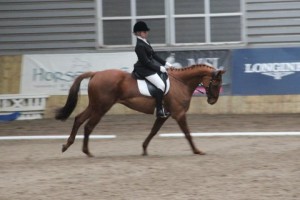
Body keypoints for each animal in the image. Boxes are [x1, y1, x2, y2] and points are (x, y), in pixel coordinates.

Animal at [55, 64, 226, 156]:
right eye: (216, 83)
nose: (212, 101)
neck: (181, 83)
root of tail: (96, 73)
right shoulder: (179, 114)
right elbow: (188, 134)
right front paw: (197, 151)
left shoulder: (164, 115)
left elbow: (153, 131)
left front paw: (144, 149)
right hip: (102, 107)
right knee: (89, 126)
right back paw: (87, 152)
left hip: (95, 105)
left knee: (79, 119)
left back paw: (67, 145)